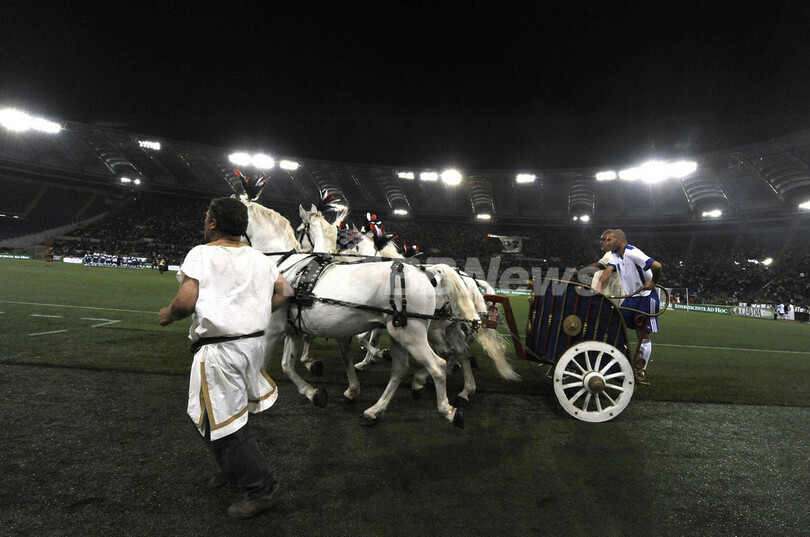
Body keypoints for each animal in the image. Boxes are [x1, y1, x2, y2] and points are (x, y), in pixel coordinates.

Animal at [241, 197, 478, 427]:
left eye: (300, 229)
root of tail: (427, 274)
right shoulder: (295, 329)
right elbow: (288, 365)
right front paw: (319, 392)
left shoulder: (273, 330)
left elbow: (262, 368)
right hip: (405, 332)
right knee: (413, 364)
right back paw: (376, 411)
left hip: (415, 334)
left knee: (439, 363)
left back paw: (447, 408)